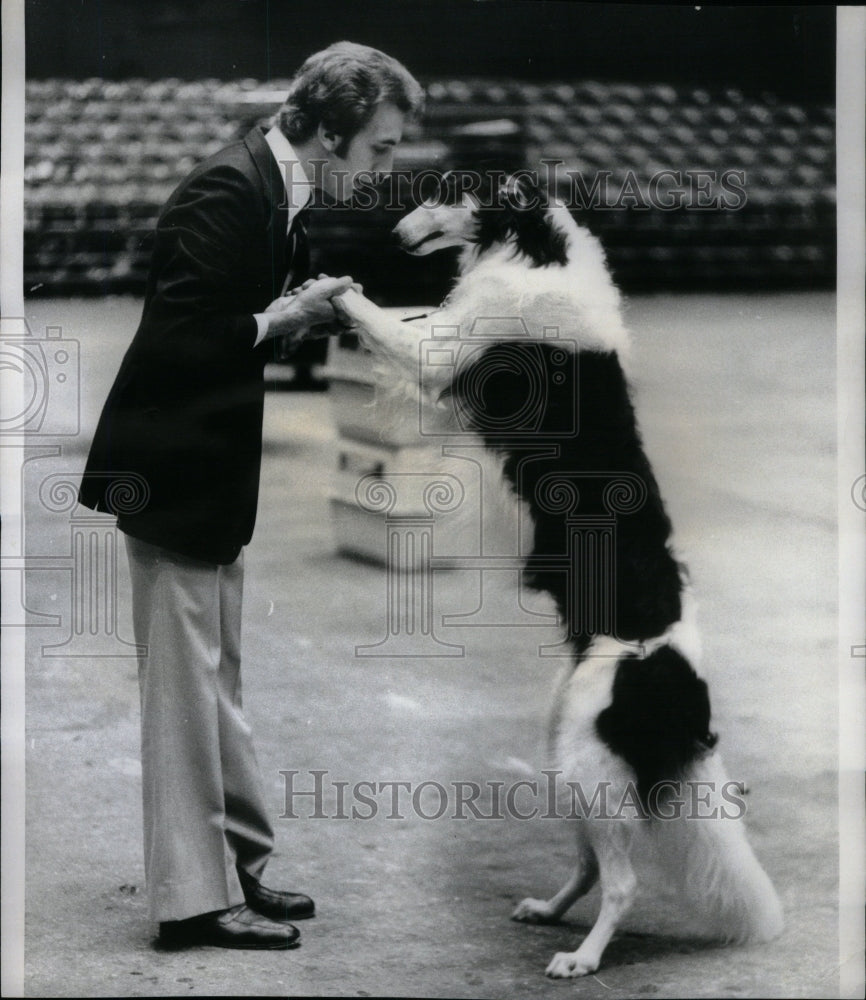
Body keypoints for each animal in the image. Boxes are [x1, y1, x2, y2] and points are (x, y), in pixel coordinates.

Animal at [332, 172, 784, 976]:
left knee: (624, 882)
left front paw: (328, 290)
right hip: (564, 753)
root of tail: (681, 684)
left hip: (587, 760)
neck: (534, 241)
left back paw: (583, 957)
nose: (389, 236)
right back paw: (549, 912)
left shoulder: (443, 352)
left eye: (442, 189)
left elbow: (380, 318)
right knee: (591, 864)